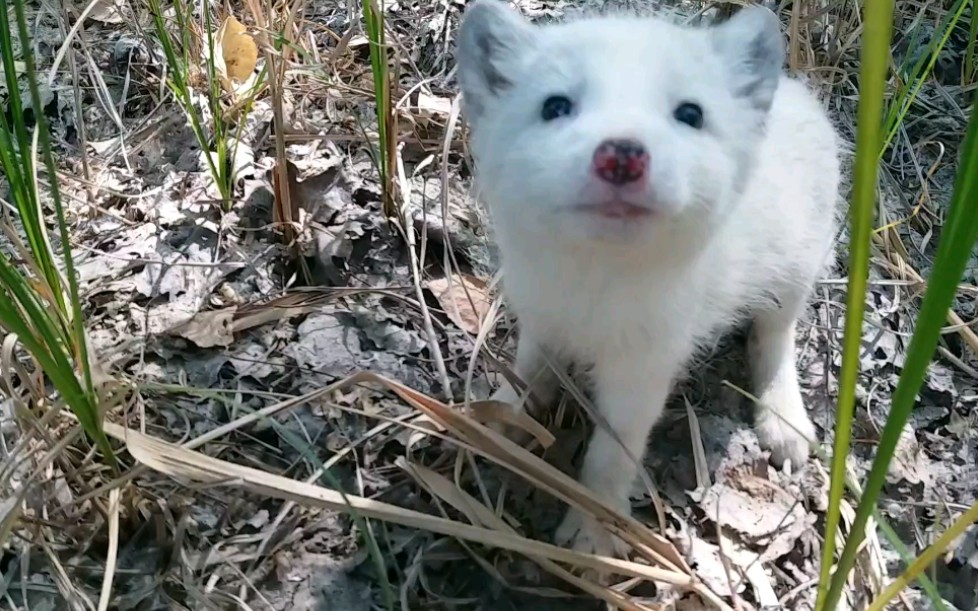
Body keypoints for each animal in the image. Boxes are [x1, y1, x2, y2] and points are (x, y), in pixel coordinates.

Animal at [456, 0, 840, 556]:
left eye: (690, 114)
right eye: (555, 106)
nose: (622, 155)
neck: (595, 280)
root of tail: (796, 93)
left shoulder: (643, 370)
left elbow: (611, 456)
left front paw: (594, 531)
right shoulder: (541, 316)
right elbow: (528, 373)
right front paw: (502, 419)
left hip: (797, 266)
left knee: (775, 334)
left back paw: (783, 419)